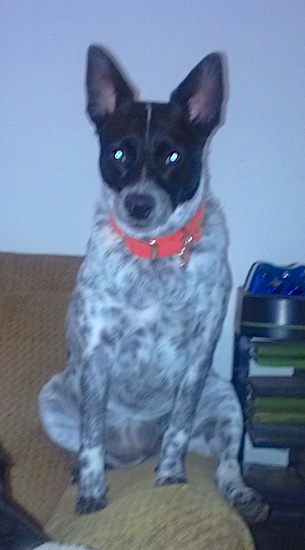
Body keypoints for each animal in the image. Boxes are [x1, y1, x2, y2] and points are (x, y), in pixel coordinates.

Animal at [38, 46, 268, 528]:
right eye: (118, 153)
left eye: (174, 157)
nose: (138, 204)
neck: (154, 255)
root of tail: (136, 450)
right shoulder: (96, 356)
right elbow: (90, 441)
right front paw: (91, 495)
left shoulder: (199, 356)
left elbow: (177, 433)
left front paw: (171, 480)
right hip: (52, 397)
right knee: (95, 449)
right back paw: (86, 472)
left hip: (225, 400)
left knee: (226, 463)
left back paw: (242, 495)